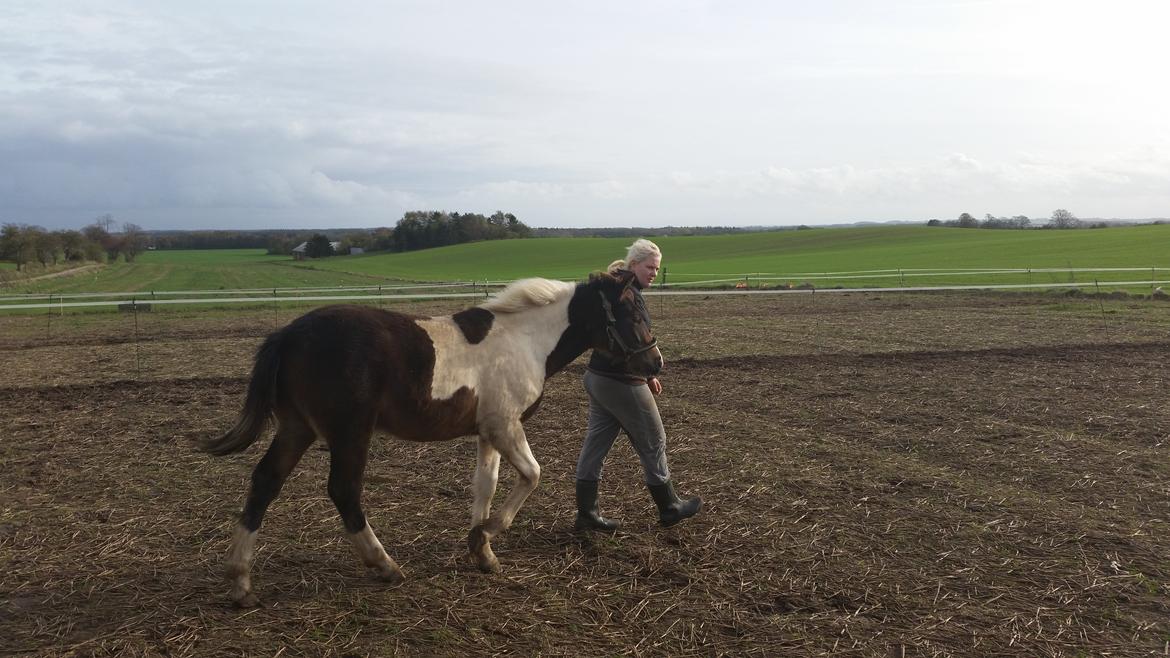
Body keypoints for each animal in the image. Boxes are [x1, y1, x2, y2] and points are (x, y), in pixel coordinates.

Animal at [200, 270, 659, 604]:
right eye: (633, 314)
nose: (654, 363)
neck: (525, 340)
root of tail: (288, 335)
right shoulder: (506, 424)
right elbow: (532, 475)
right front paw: (487, 534)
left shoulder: (488, 430)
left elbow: (485, 485)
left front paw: (482, 550)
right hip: (349, 432)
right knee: (343, 490)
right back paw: (385, 565)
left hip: (297, 428)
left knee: (265, 482)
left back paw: (240, 582)